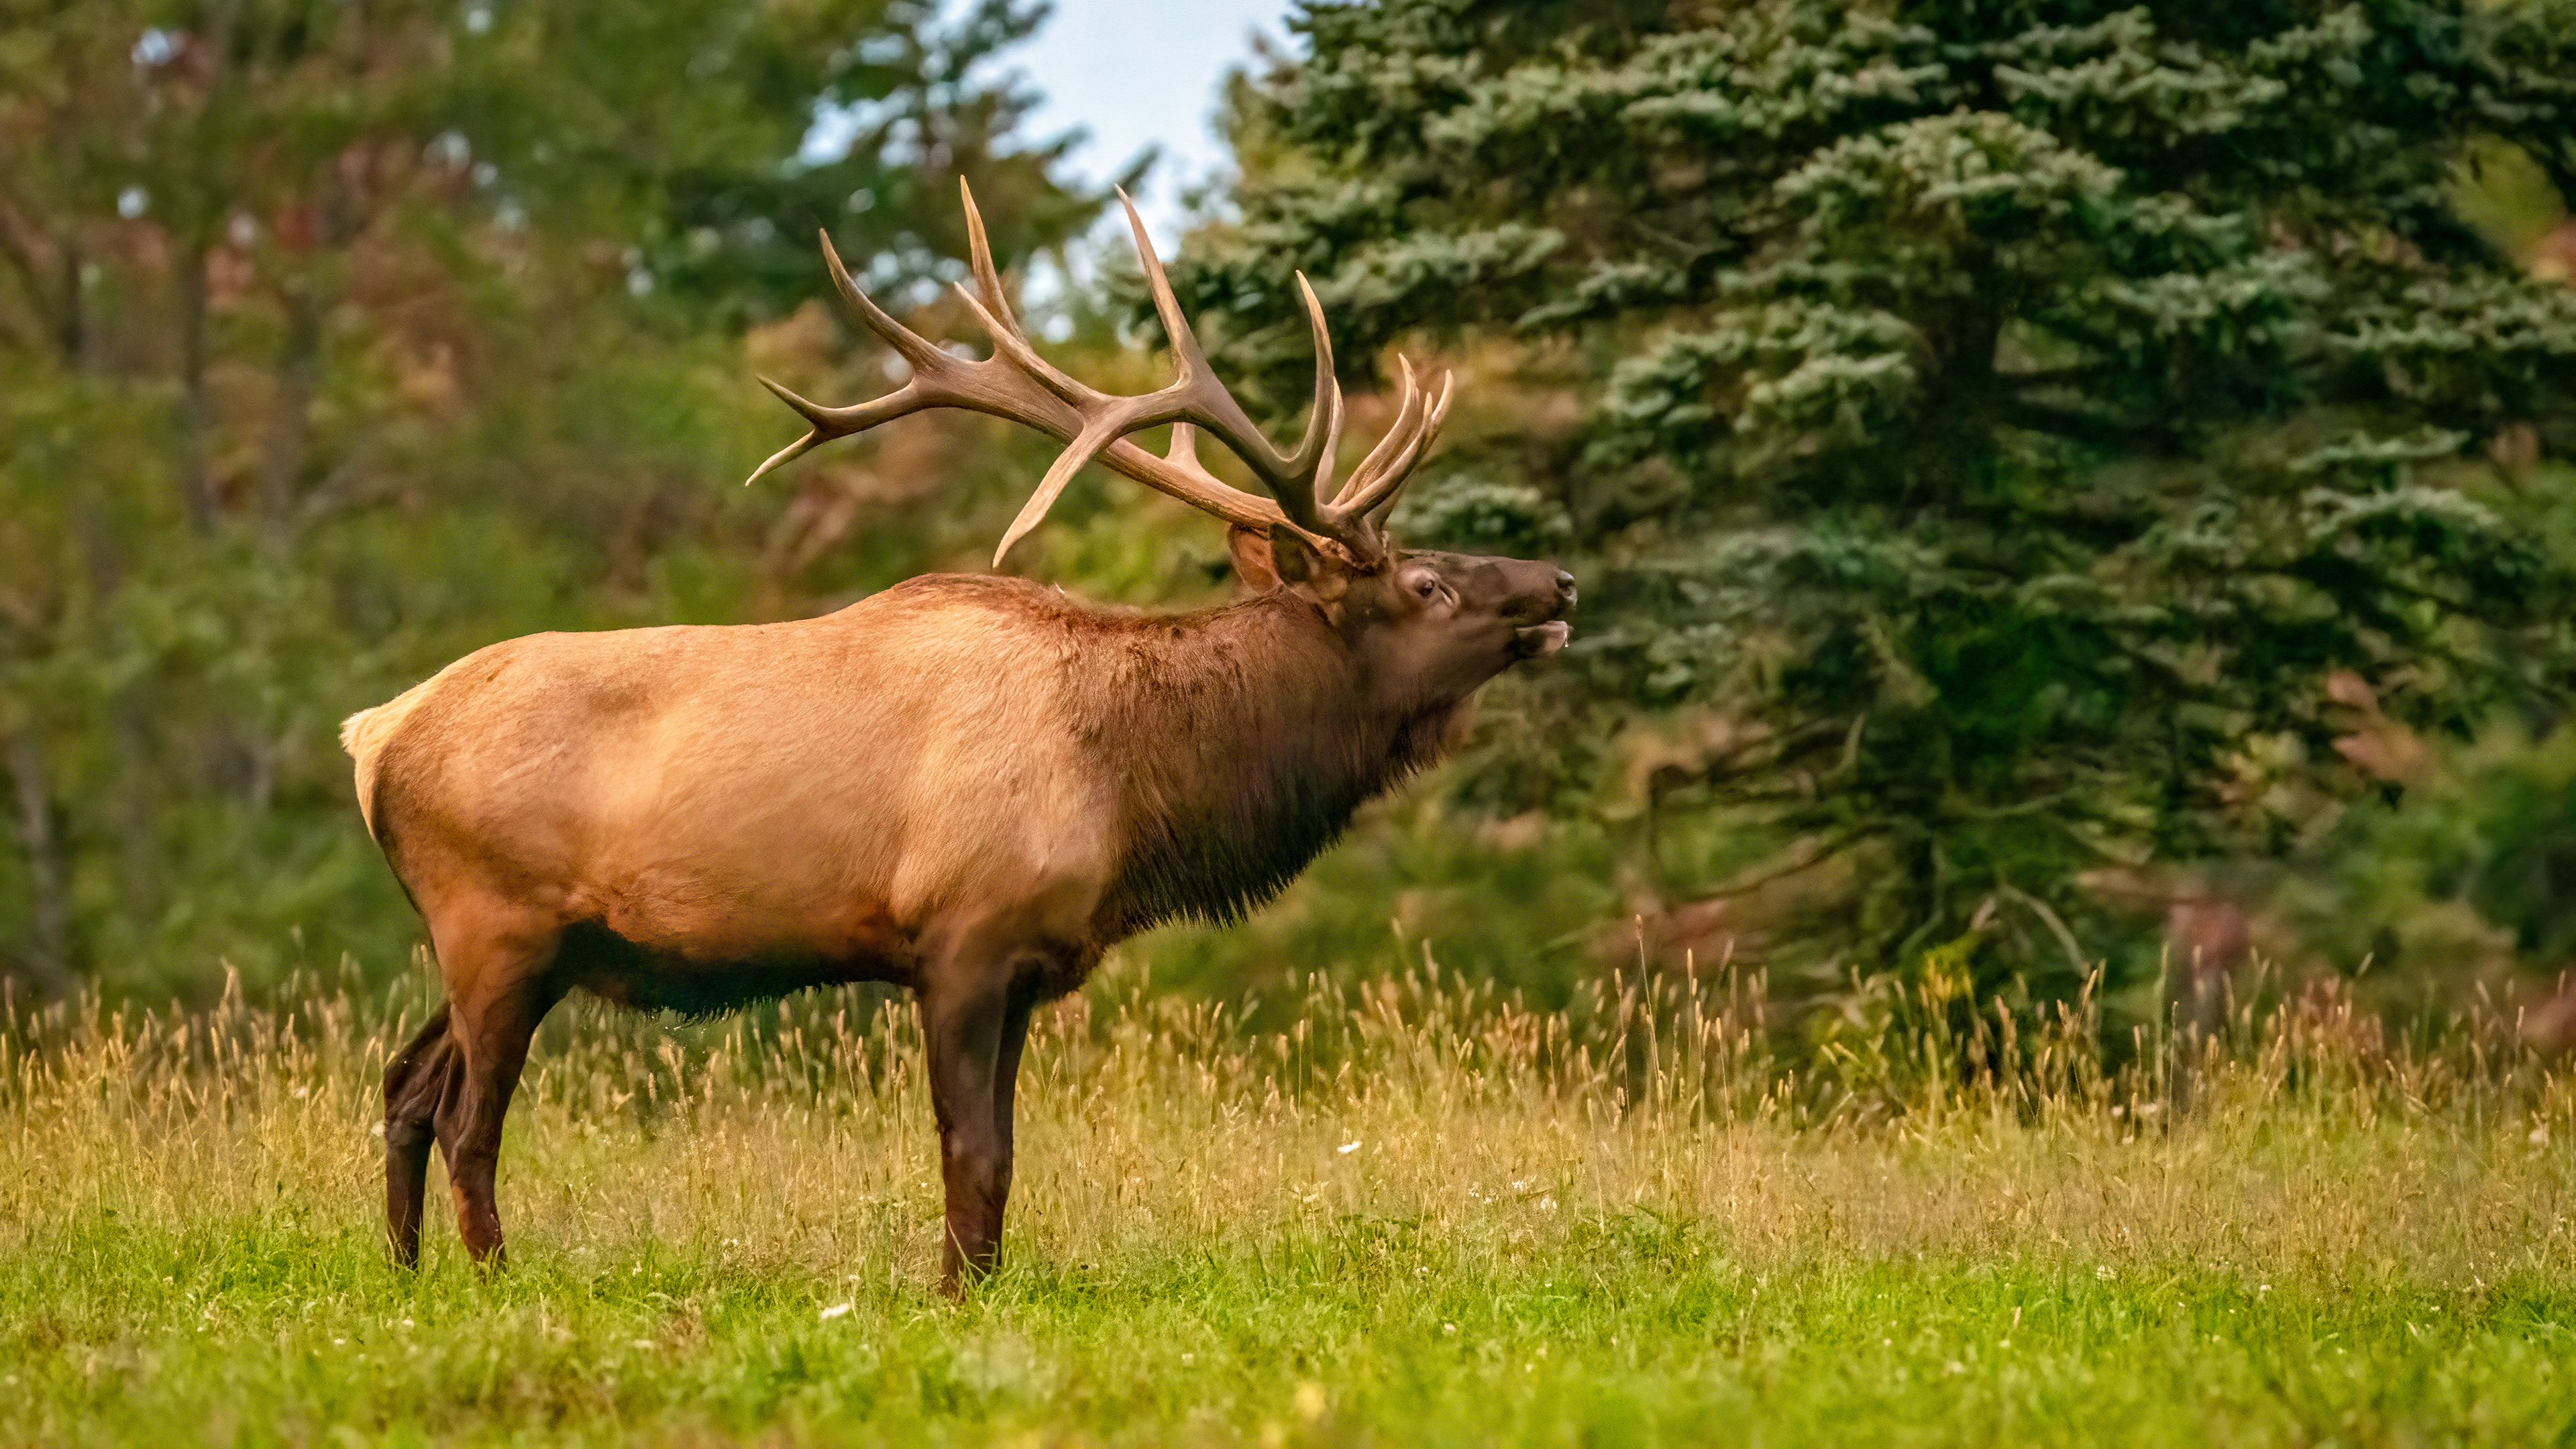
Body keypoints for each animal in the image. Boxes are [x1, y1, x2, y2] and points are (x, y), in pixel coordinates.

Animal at [341, 182, 1576, 1295]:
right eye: (1426, 584)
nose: (1557, 579)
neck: (1132, 792)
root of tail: (372, 735)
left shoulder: (1027, 965)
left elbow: (1008, 1159)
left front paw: (977, 1284)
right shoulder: (961, 937)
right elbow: (969, 1153)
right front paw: (950, 1299)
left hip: (515, 948)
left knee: (406, 1085)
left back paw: (404, 1277)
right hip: (495, 923)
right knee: (467, 1118)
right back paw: (496, 1280)